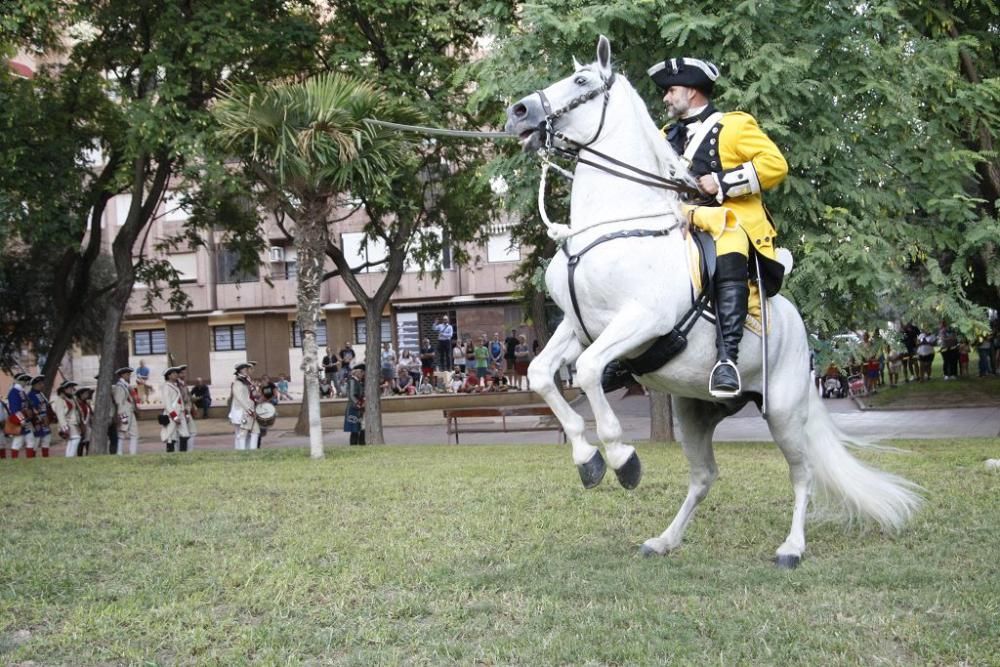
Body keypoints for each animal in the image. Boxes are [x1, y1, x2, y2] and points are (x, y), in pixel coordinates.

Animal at [504, 36, 916, 568]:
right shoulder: (578, 326)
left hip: (784, 412)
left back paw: (792, 547)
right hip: (693, 412)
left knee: (801, 473)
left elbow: (592, 371)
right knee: (704, 477)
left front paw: (620, 456)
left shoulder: (641, 321)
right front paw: (587, 457)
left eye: (580, 80)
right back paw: (665, 539)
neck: (614, 226)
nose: (517, 112)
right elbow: (540, 374)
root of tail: (798, 327)